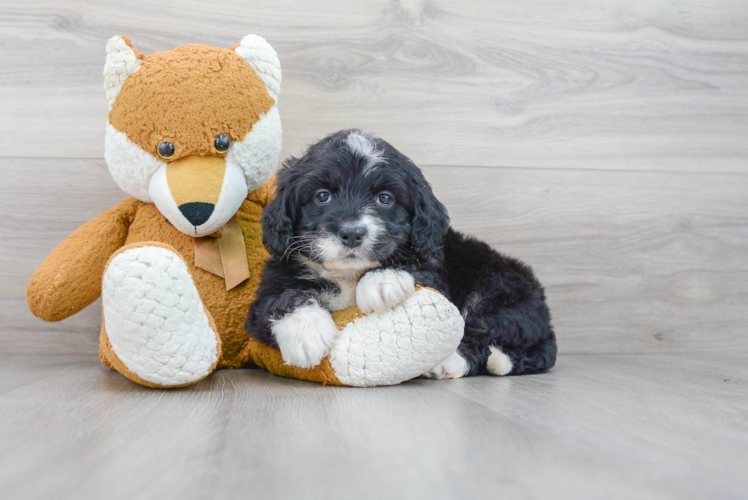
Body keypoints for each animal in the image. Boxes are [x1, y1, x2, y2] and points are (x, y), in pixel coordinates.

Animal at [245, 131, 556, 376]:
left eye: (385, 198)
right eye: (322, 196)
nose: (352, 233)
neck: (347, 276)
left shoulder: (434, 269)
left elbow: (415, 266)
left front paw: (382, 281)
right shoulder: (269, 290)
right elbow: (281, 299)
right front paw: (306, 332)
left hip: (497, 290)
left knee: (480, 332)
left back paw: (450, 362)